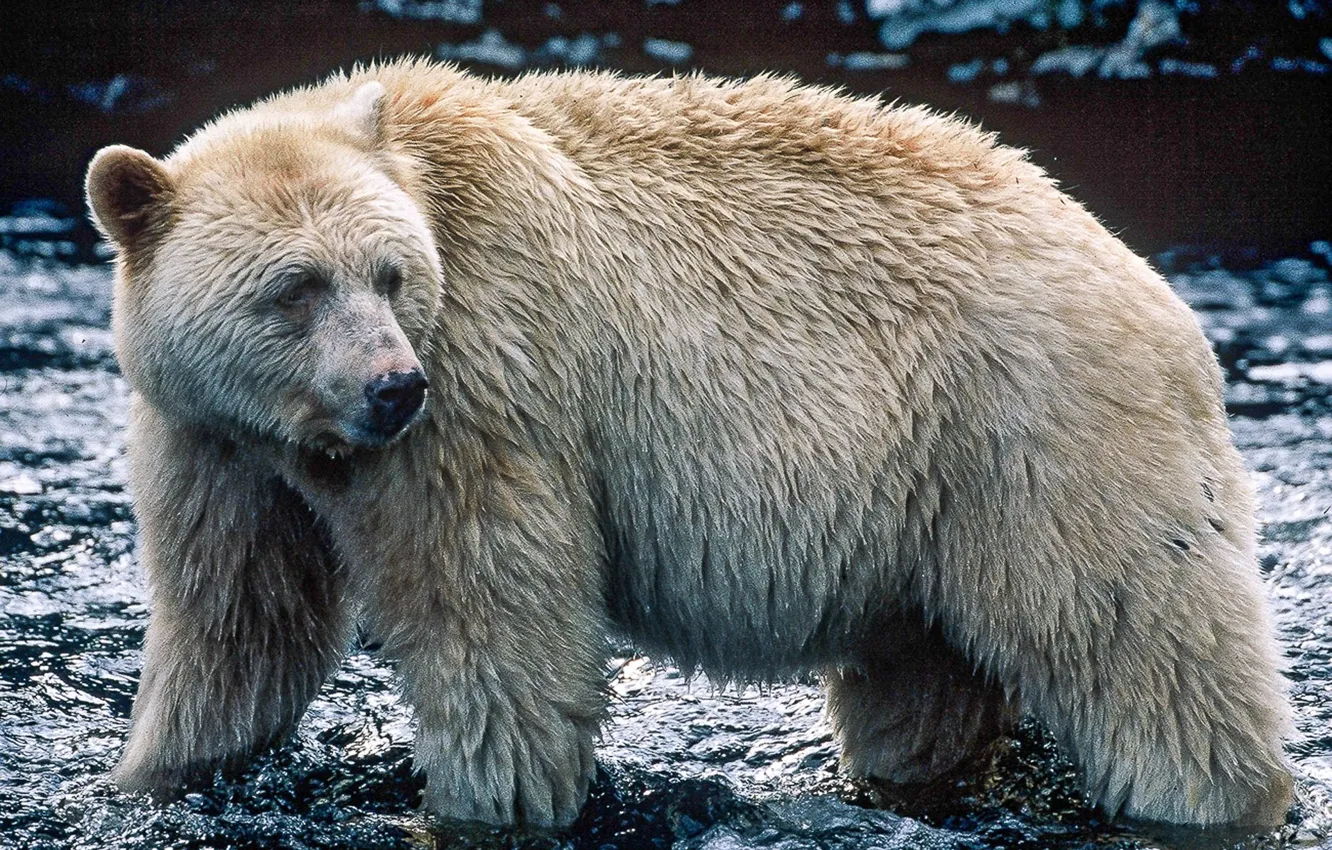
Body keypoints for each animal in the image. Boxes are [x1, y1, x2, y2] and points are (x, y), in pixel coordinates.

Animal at [84, 59, 1293, 829]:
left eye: (388, 273)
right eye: (295, 287)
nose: (393, 386)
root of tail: (1153, 286)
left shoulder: (487, 382)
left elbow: (493, 612)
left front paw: (480, 801)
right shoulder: (213, 440)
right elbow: (237, 619)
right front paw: (154, 773)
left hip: (1040, 437)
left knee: (1138, 639)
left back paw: (1212, 798)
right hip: (931, 501)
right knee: (924, 678)